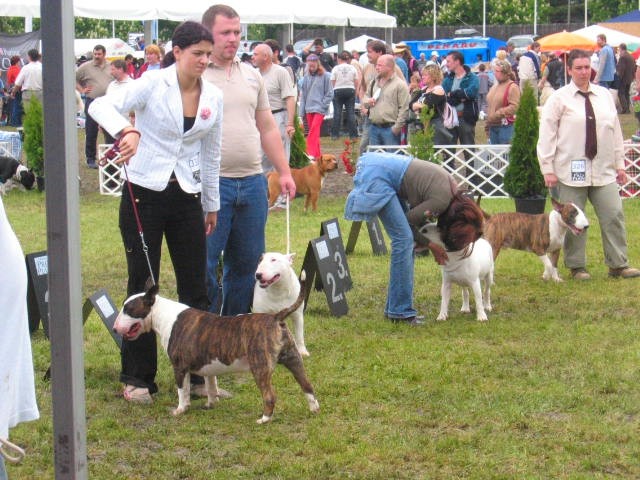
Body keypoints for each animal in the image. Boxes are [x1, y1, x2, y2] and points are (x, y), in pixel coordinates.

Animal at [114, 274, 318, 424]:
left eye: (128, 309)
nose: (115, 328)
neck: (162, 315)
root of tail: (275, 317)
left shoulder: (180, 367)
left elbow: (183, 391)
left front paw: (180, 410)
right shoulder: (208, 366)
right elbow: (211, 386)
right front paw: (210, 404)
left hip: (260, 367)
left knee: (270, 395)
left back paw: (264, 419)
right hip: (293, 358)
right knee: (307, 384)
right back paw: (314, 409)